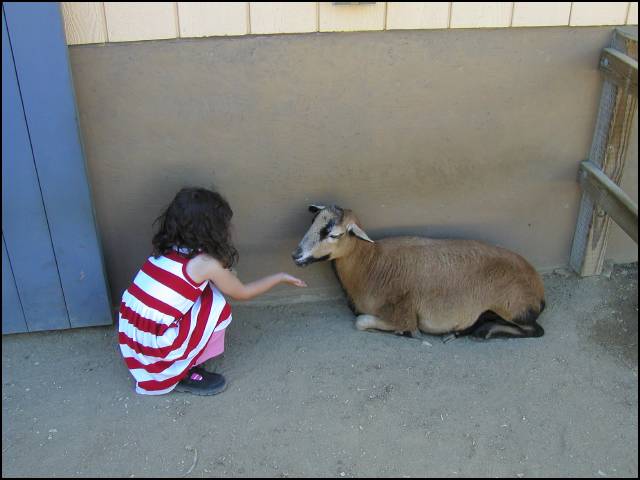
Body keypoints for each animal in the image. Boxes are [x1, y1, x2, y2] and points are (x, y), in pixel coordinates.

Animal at [292, 205, 545, 340]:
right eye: (312, 222)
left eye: (334, 234)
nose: (296, 255)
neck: (371, 263)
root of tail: (538, 289)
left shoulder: (404, 314)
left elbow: (362, 321)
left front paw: (404, 334)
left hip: (512, 308)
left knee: (535, 330)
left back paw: (483, 330)